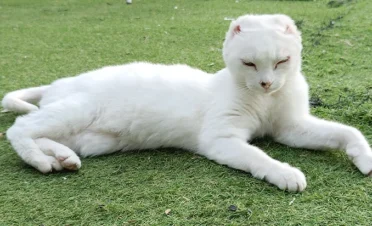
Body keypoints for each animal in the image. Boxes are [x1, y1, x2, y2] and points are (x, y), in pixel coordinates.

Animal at [2, 14, 372, 191]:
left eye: (282, 61)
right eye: (250, 64)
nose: (266, 83)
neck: (265, 100)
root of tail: (57, 83)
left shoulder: (291, 128)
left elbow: (347, 131)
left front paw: (364, 157)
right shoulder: (220, 138)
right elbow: (258, 156)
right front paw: (284, 173)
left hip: (91, 139)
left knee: (44, 134)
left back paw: (63, 157)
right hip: (79, 110)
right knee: (20, 128)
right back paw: (41, 160)